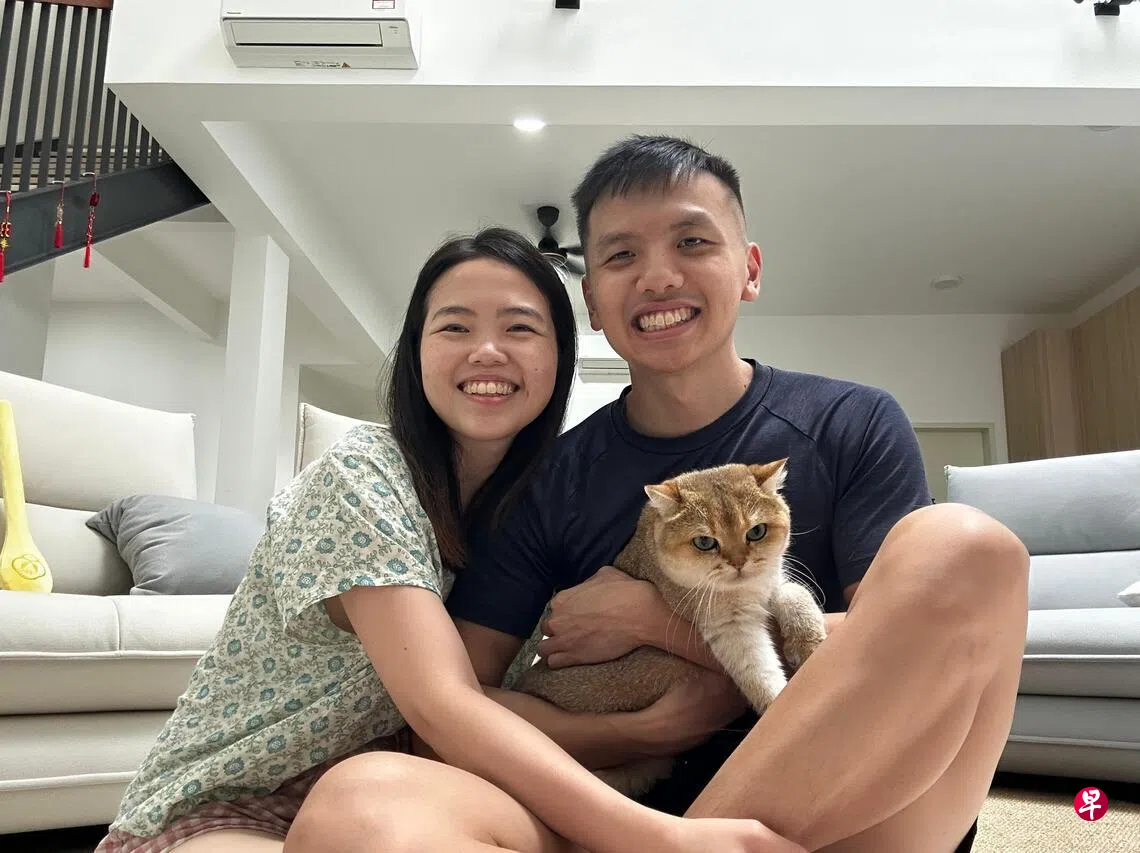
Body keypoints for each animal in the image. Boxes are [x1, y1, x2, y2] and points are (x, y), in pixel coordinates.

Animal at [515, 459, 828, 797]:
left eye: (756, 532)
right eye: (704, 542)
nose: (738, 563)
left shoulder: (772, 583)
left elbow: (796, 593)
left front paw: (808, 642)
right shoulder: (727, 626)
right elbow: (756, 670)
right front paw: (777, 703)